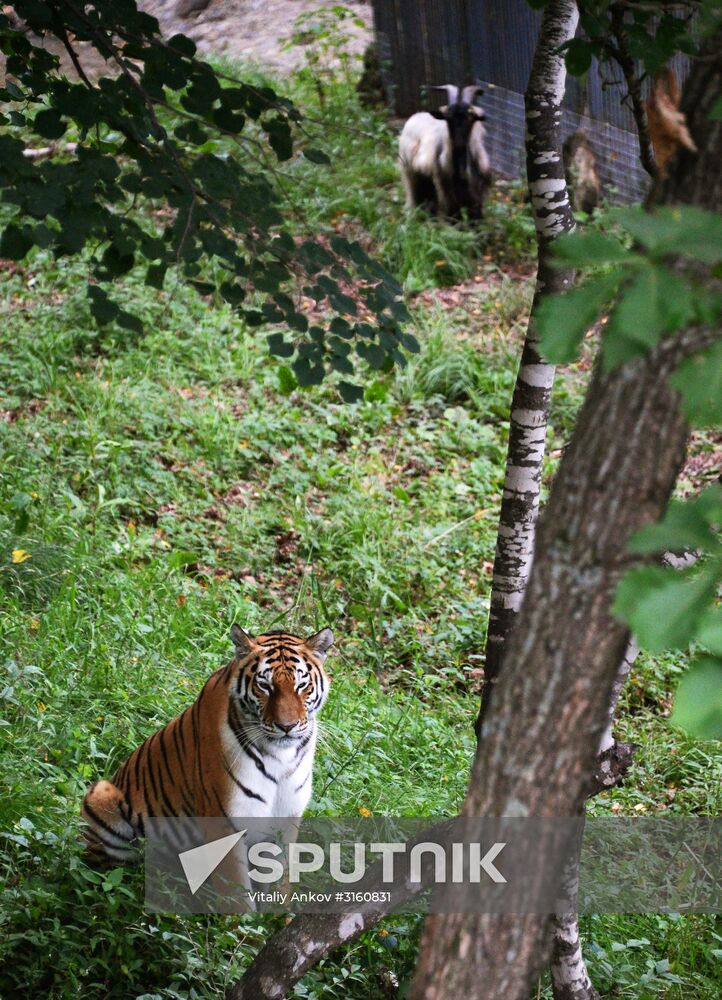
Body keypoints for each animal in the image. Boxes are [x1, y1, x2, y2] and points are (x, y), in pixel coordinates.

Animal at [80, 624, 334, 868]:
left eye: (302, 685)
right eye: (264, 686)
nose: (287, 726)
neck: (281, 756)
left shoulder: (288, 821)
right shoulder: (225, 822)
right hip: (101, 796)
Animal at [396, 84, 492, 221]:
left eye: (470, 117)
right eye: (448, 119)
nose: (458, 143)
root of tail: (415, 116)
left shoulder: (476, 196)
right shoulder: (447, 193)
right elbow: (451, 216)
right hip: (409, 172)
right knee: (414, 196)